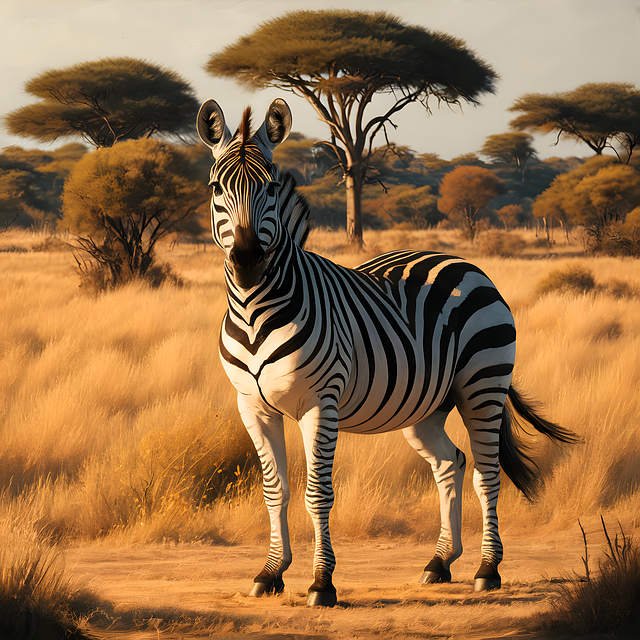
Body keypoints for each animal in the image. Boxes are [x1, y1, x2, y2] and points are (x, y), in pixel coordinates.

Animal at [196, 97, 578, 607]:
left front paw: (322, 583)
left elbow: (317, 492)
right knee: (450, 464)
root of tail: (461, 261)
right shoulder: (252, 406)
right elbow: (274, 490)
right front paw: (271, 573)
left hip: (483, 387)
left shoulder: (321, 402)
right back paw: (440, 562)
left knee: (487, 473)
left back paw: (487, 569)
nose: (247, 261)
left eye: (271, 187)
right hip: (426, 407)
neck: (256, 309)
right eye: (217, 187)